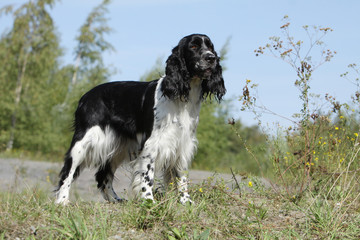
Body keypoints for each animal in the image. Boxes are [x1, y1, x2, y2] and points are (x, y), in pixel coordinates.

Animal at [54, 34, 225, 204]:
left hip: (118, 147)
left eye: (210, 47)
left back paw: (116, 200)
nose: (211, 58)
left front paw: (185, 201)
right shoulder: (152, 143)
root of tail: (85, 97)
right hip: (83, 142)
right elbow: (147, 175)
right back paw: (62, 201)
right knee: (68, 172)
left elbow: (181, 176)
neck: (182, 97)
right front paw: (148, 199)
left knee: (104, 176)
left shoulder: (183, 143)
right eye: (194, 47)